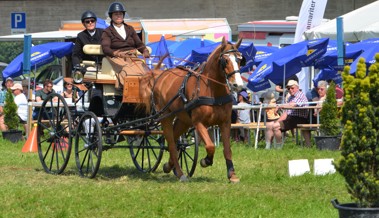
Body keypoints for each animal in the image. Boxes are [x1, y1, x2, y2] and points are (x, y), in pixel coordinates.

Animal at [141, 37, 245, 182]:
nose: (237, 85)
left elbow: (227, 149)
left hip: (183, 121)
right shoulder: (198, 123)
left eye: (239, 60)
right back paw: (180, 173)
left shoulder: (225, 122)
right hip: (165, 117)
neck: (212, 91)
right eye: (225, 60)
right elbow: (210, 146)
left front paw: (232, 175)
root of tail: (160, 74)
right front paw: (206, 161)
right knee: (171, 143)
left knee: (174, 140)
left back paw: (169, 166)